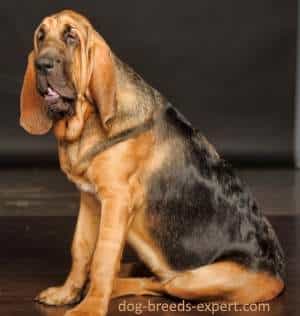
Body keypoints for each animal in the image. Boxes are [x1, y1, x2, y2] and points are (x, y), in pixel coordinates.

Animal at [19, 9, 284, 316]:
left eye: (71, 36)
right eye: (40, 36)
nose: (42, 64)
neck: (85, 121)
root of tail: (279, 276)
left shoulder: (116, 199)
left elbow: (101, 259)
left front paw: (91, 306)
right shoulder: (90, 199)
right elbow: (82, 250)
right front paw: (66, 293)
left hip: (195, 280)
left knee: (164, 283)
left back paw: (115, 286)